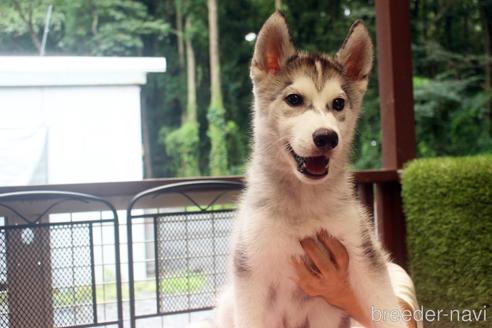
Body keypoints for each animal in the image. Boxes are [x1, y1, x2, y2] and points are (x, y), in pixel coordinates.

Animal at [190, 10, 406, 328]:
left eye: (338, 103)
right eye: (294, 99)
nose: (327, 137)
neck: (303, 203)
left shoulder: (365, 256)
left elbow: (388, 311)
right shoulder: (250, 270)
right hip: (229, 302)